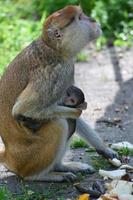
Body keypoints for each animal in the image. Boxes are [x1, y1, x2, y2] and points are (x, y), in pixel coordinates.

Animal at [0, 5, 116, 181]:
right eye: (79, 18)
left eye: (82, 14)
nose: (93, 20)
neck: (54, 48)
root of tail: (9, 156)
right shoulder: (56, 72)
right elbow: (23, 110)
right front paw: (77, 111)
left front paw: (105, 149)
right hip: (28, 158)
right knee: (60, 123)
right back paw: (42, 176)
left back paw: (61, 166)